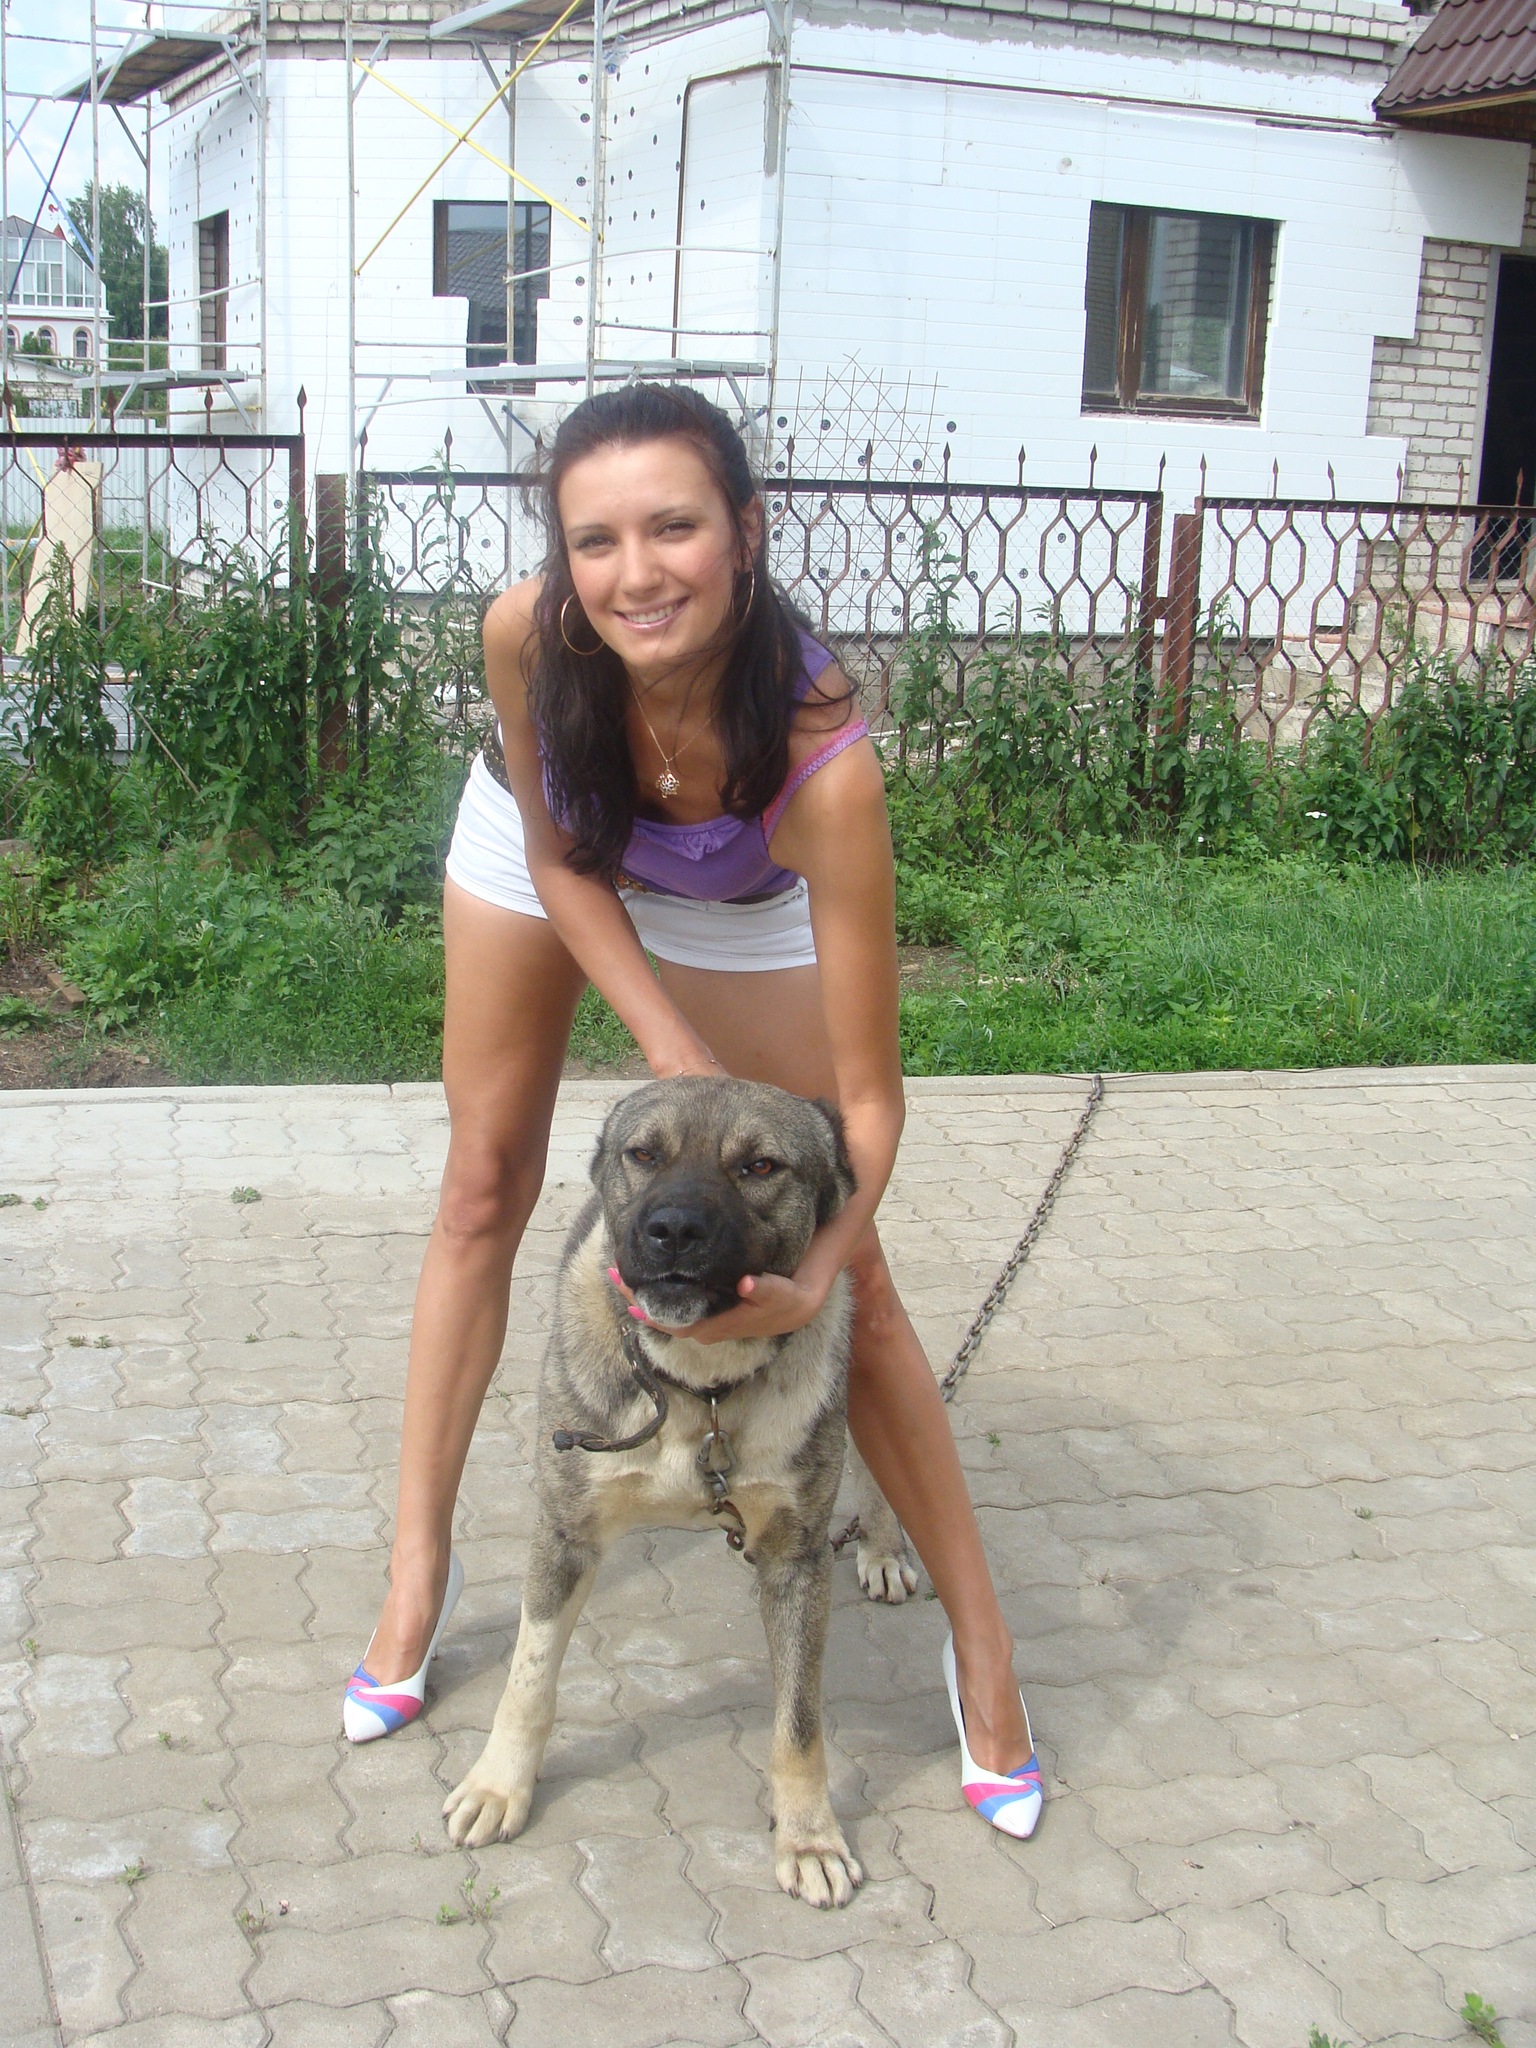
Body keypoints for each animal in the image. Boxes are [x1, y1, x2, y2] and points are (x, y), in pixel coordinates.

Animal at [442, 1074, 911, 1906]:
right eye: (644, 1154)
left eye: (760, 1166)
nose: (673, 1231)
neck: (702, 1388)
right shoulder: (564, 1533)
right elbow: (528, 1677)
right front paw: (500, 1786)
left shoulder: (796, 1561)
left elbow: (798, 1725)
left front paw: (809, 1836)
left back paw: (884, 1547)